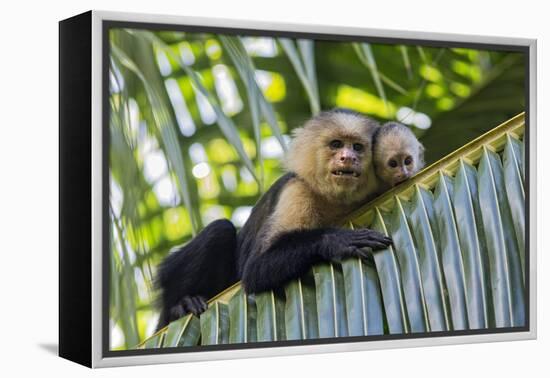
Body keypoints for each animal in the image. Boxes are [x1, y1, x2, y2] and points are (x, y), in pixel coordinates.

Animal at [157, 108, 394, 330]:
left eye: (357, 147)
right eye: (336, 144)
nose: (348, 157)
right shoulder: (297, 191)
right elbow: (255, 270)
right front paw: (337, 240)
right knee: (220, 230)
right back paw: (180, 306)